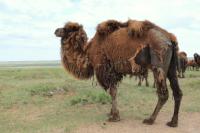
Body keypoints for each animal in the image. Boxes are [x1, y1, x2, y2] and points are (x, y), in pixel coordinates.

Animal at [54, 19, 183, 127]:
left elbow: (113, 92)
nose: (56, 31)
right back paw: (173, 122)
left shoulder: (107, 70)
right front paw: (111, 113)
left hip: (158, 64)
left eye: (66, 29)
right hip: (171, 68)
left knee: (163, 94)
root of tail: (170, 38)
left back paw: (150, 119)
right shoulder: (114, 72)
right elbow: (114, 91)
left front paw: (114, 117)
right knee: (177, 92)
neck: (88, 52)